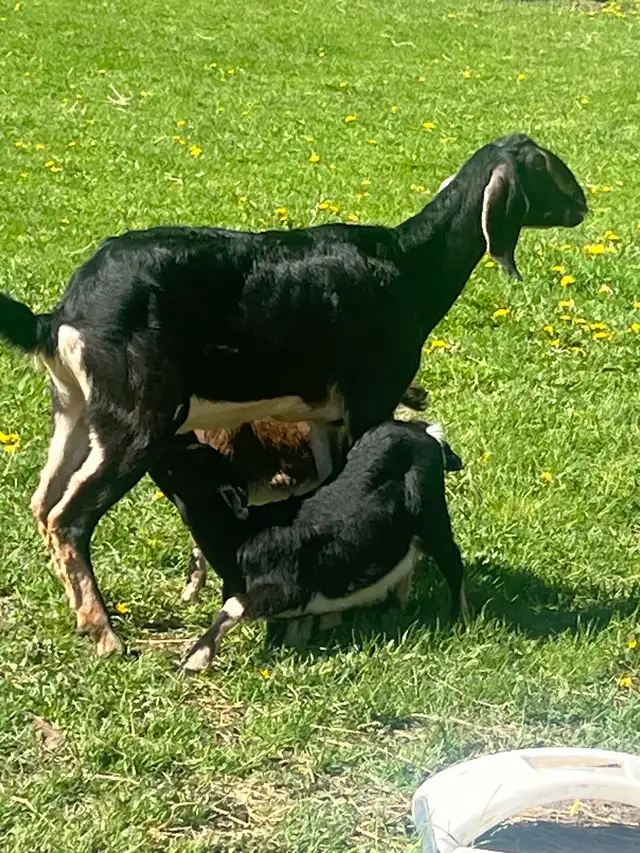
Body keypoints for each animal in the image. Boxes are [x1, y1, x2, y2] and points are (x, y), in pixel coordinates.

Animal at [149, 419, 467, 672]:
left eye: (190, 466)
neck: (244, 535)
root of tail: (423, 432)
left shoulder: (287, 586)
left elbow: (234, 605)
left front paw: (195, 659)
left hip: (433, 518)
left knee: (453, 562)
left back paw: (458, 617)